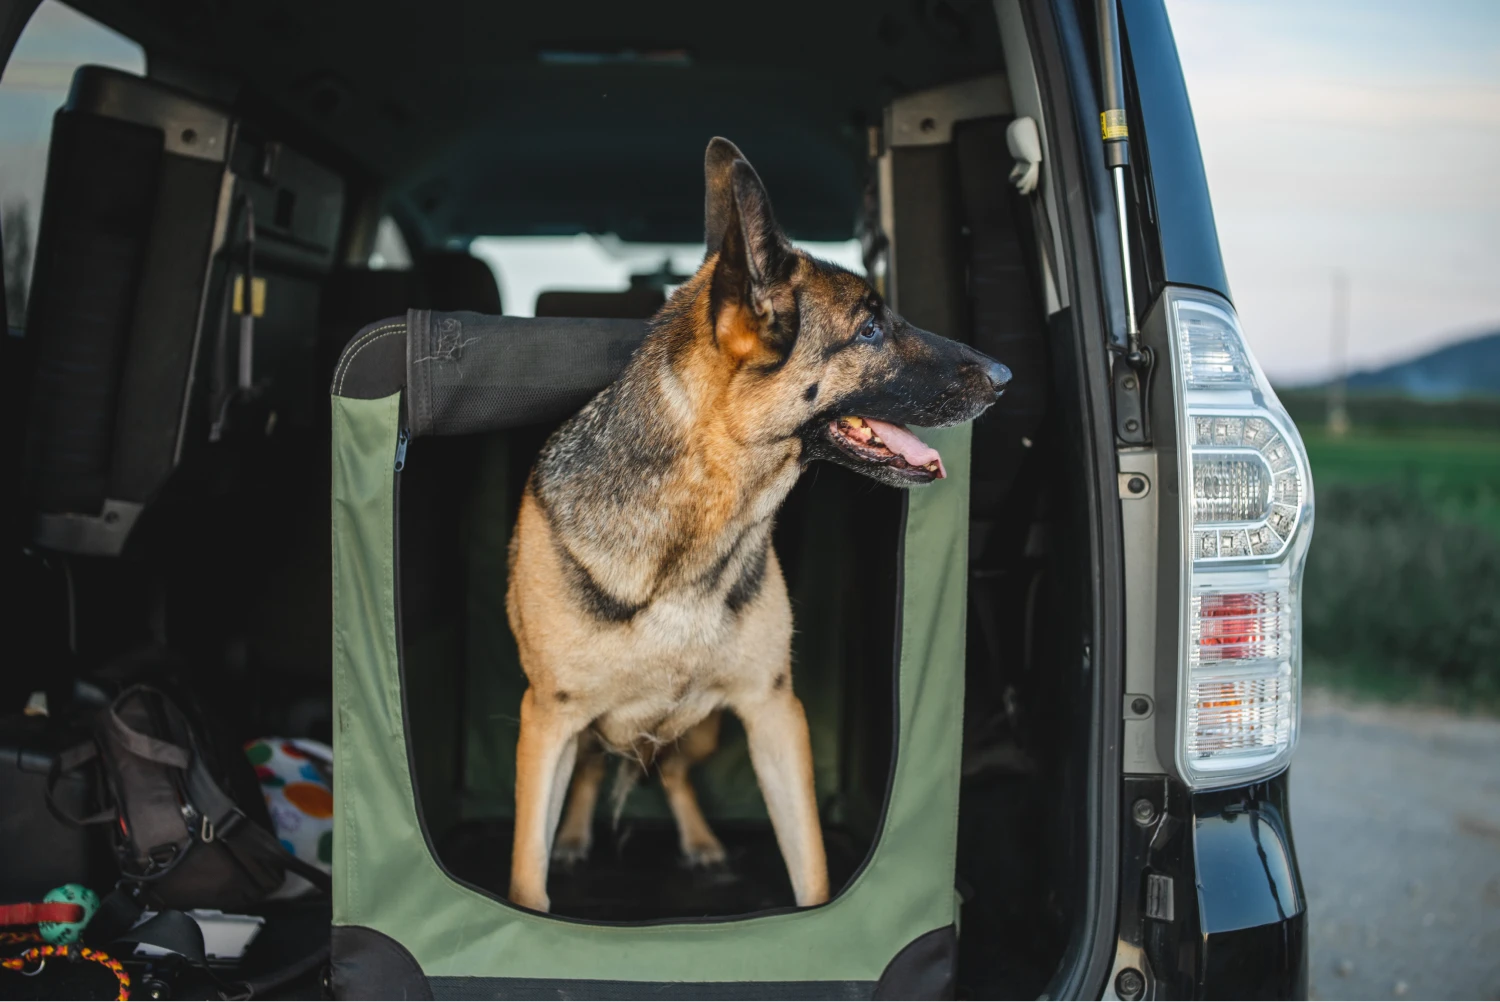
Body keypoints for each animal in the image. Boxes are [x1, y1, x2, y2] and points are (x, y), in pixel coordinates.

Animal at [504, 137, 1008, 912]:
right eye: (869, 329)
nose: (1006, 375)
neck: (697, 532)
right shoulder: (549, 722)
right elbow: (528, 880)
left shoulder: (773, 714)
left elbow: (812, 873)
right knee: (596, 768)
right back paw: (579, 835)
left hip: (705, 732)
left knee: (671, 771)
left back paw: (701, 843)